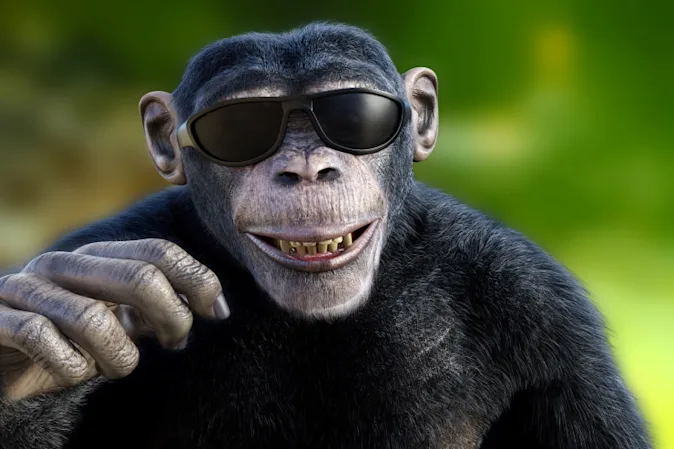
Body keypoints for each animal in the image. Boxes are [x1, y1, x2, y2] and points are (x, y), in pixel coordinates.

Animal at [0, 22, 652, 449]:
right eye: (238, 126)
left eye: (355, 116)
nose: (308, 167)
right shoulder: (111, 236)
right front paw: (50, 327)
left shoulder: (541, 309)